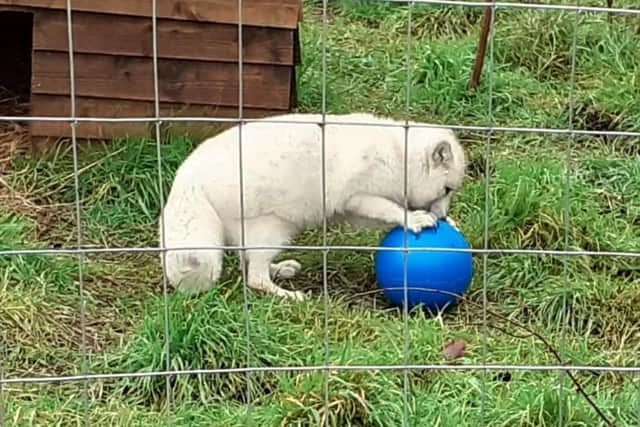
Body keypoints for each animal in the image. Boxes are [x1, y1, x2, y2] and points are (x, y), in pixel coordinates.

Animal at [159, 113, 464, 300]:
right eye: (447, 190)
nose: (444, 216)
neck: (399, 154)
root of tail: (188, 176)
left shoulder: (352, 211)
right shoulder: (358, 197)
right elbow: (391, 210)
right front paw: (414, 219)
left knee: (249, 263)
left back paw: (281, 270)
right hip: (274, 229)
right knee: (254, 278)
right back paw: (289, 295)